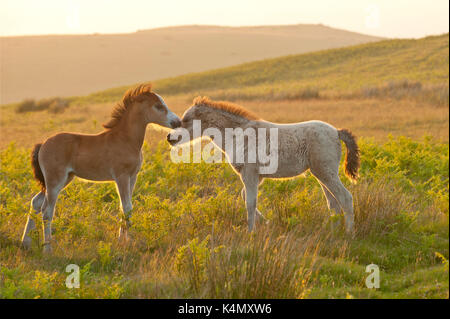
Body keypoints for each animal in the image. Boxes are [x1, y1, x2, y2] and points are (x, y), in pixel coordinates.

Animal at [20, 84, 179, 252]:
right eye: (158, 106)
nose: (177, 121)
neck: (125, 140)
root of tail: (43, 144)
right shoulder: (121, 176)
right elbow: (127, 207)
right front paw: (125, 243)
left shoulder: (132, 177)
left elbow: (123, 208)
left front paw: (123, 241)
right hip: (55, 180)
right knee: (47, 211)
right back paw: (47, 249)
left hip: (63, 179)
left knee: (36, 202)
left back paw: (25, 243)